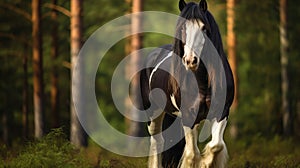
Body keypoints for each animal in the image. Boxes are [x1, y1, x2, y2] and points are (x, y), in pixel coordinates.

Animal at [138, 0, 234, 167]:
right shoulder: (189, 116)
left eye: (204, 27)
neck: (203, 82)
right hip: (154, 113)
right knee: (157, 142)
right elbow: (192, 154)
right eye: (183, 28)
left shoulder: (222, 112)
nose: (190, 60)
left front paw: (206, 162)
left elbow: (216, 146)